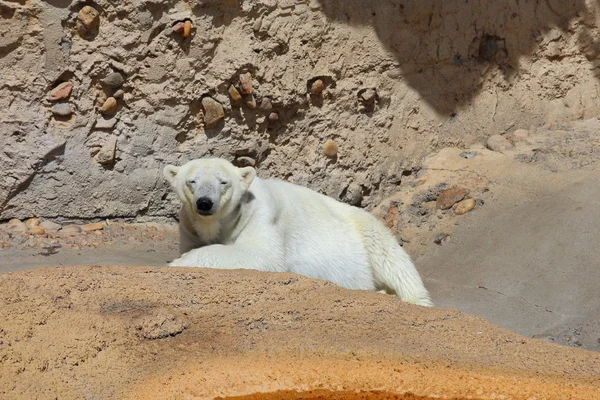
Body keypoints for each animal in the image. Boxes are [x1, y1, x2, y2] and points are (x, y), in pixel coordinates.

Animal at [164, 157, 434, 306]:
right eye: (192, 181)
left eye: (223, 182)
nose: (204, 203)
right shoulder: (189, 227)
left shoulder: (261, 215)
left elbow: (264, 256)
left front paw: (178, 262)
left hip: (363, 228)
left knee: (391, 257)